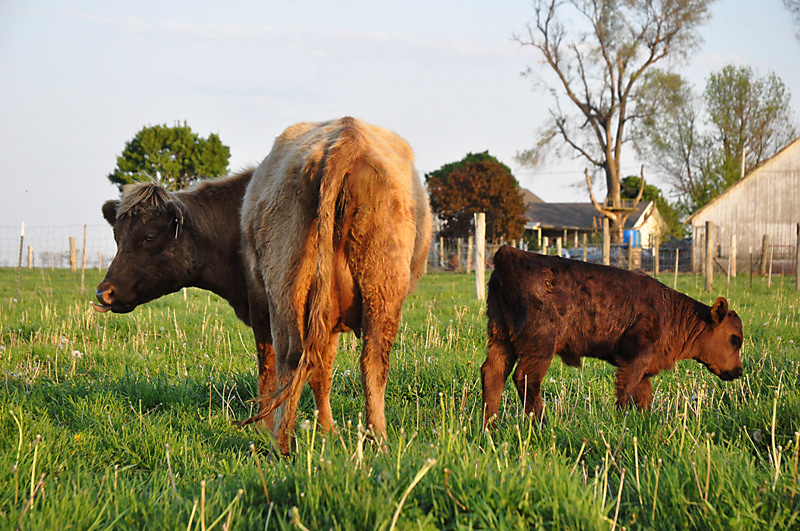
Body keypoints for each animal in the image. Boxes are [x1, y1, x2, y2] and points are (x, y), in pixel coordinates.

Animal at [95, 117, 432, 454]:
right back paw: (378, 444)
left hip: (285, 294)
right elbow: (322, 372)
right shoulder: (325, 321)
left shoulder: (260, 306)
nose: (104, 292)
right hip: (380, 292)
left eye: (148, 237)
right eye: (117, 237)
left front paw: (264, 427)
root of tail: (347, 137)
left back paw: (279, 445)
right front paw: (327, 429)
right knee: (372, 362)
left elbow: (269, 367)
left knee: (289, 359)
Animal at [481, 245, 743, 427]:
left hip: (501, 339)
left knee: (493, 374)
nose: (739, 371)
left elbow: (643, 396)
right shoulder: (634, 359)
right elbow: (626, 392)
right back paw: (542, 425)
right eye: (735, 339)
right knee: (526, 379)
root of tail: (509, 254)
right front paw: (622, 422)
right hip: (540, 347)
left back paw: (489, 427)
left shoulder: (644, 367)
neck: (669, 311)